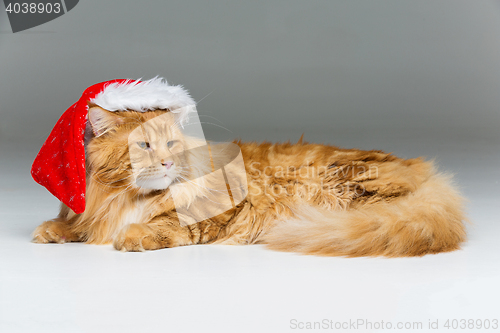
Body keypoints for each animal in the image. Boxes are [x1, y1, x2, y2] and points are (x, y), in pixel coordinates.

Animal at [33, 106, 466, 256]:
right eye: (143, 145)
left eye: (171, 142)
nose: (170, 162)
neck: (125, 196)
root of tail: (422, 171)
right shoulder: (93, 208)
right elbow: (76, 223)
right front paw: (54, 230)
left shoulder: (221, 209)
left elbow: (168, 224)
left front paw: (134, 234)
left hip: (342, 187)